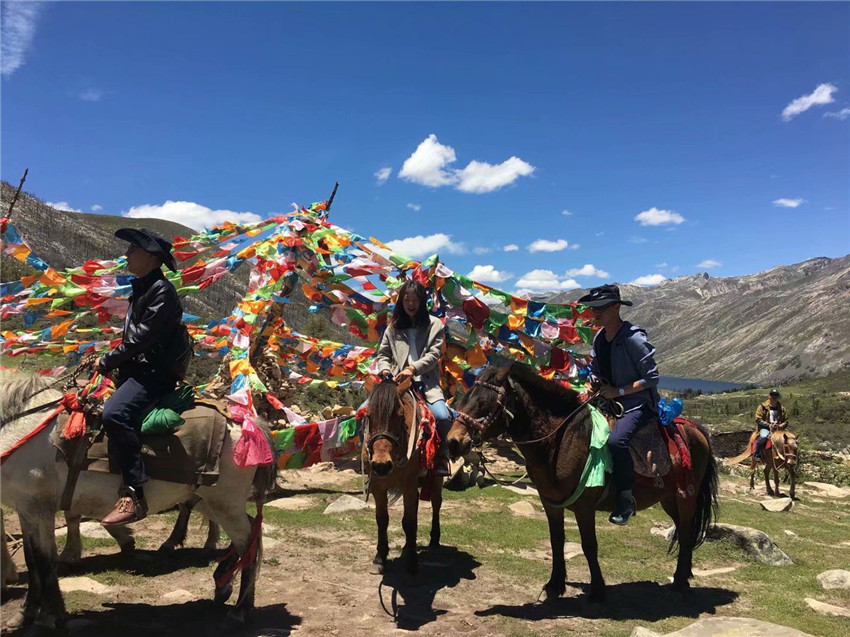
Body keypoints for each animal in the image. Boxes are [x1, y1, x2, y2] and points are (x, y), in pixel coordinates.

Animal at [0, 373, 275, 629]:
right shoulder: (26, 512)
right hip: (210, 502)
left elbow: (45, 563)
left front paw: (51, 616)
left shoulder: (40, 510)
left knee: (248, 543)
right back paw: (225, 586)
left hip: (224, 505)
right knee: (251, 531)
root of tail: (246, 423)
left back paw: (240, 610)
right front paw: (25, 614)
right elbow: (32, 561)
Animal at [362, 378, 444, 576]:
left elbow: (409, 521)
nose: (381, 465)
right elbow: (382, 520)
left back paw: (434, 540)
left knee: (436, 503)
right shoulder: (378, 486)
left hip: (436, 479)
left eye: (399, 417)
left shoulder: (408, 484)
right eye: (368, 416)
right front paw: (380, 558)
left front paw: (412, 562)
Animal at [447, 364, 719, 602]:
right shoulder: (551, 504)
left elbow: (589, 545)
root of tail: (696, 429)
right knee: (685, 529)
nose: (453, 442)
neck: (561, 441)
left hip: (685, 496)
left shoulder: (584, 506)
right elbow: (556, 541)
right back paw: (684, 575)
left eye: (484, 402)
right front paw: (554, 585)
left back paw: (680, 582)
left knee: (686, 530)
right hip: (669, 499)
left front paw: (597, 591)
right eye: (464, 398)